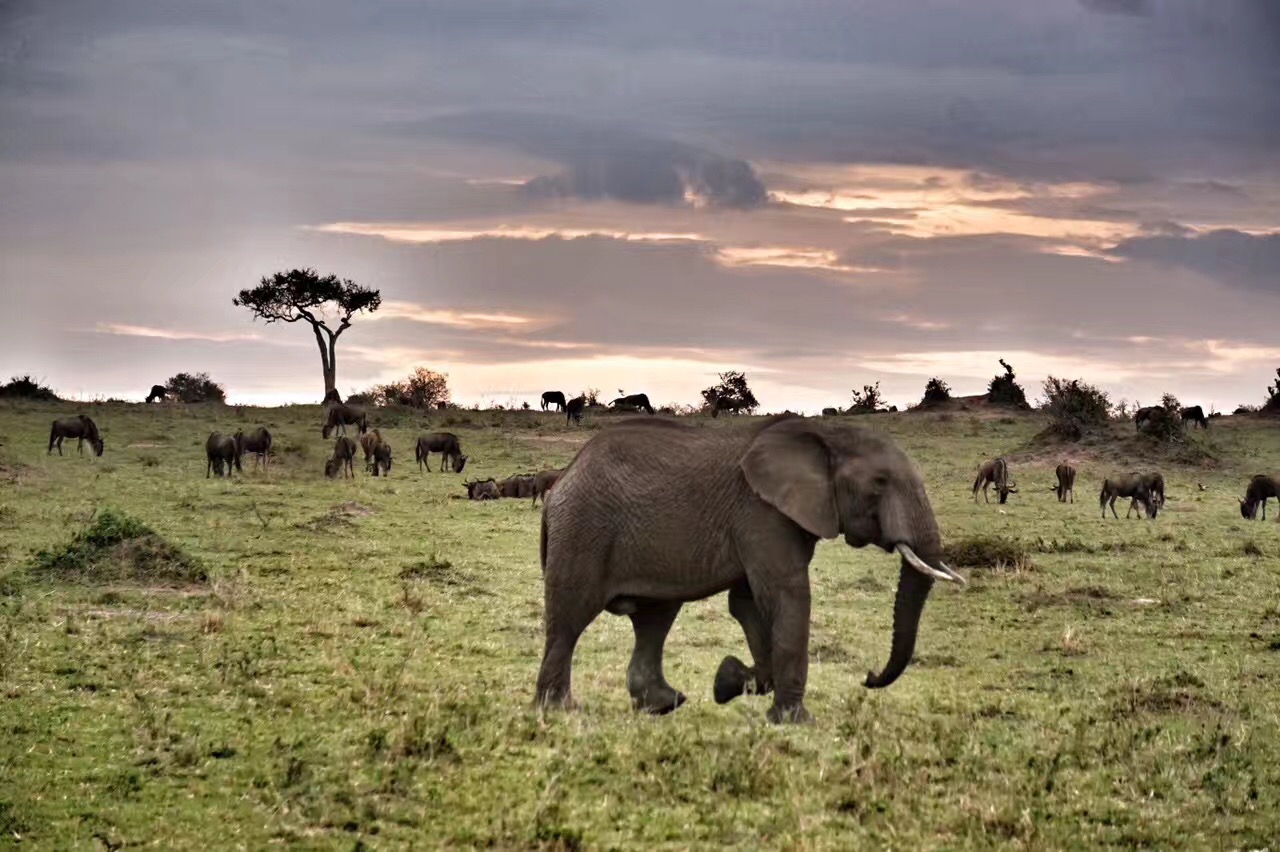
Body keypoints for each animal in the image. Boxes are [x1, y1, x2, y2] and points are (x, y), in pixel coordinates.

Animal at [535, 411, 962, 721]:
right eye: (879, 483)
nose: (869, 677)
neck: (826, 434)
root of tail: (564, 478)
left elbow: (747, 604)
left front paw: (728, 681)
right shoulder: (761, 513)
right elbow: (786, 594)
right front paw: (794, 720)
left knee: (653, 619)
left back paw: (663, 704)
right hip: (583, 531)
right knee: (571, 617)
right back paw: (559, 711)